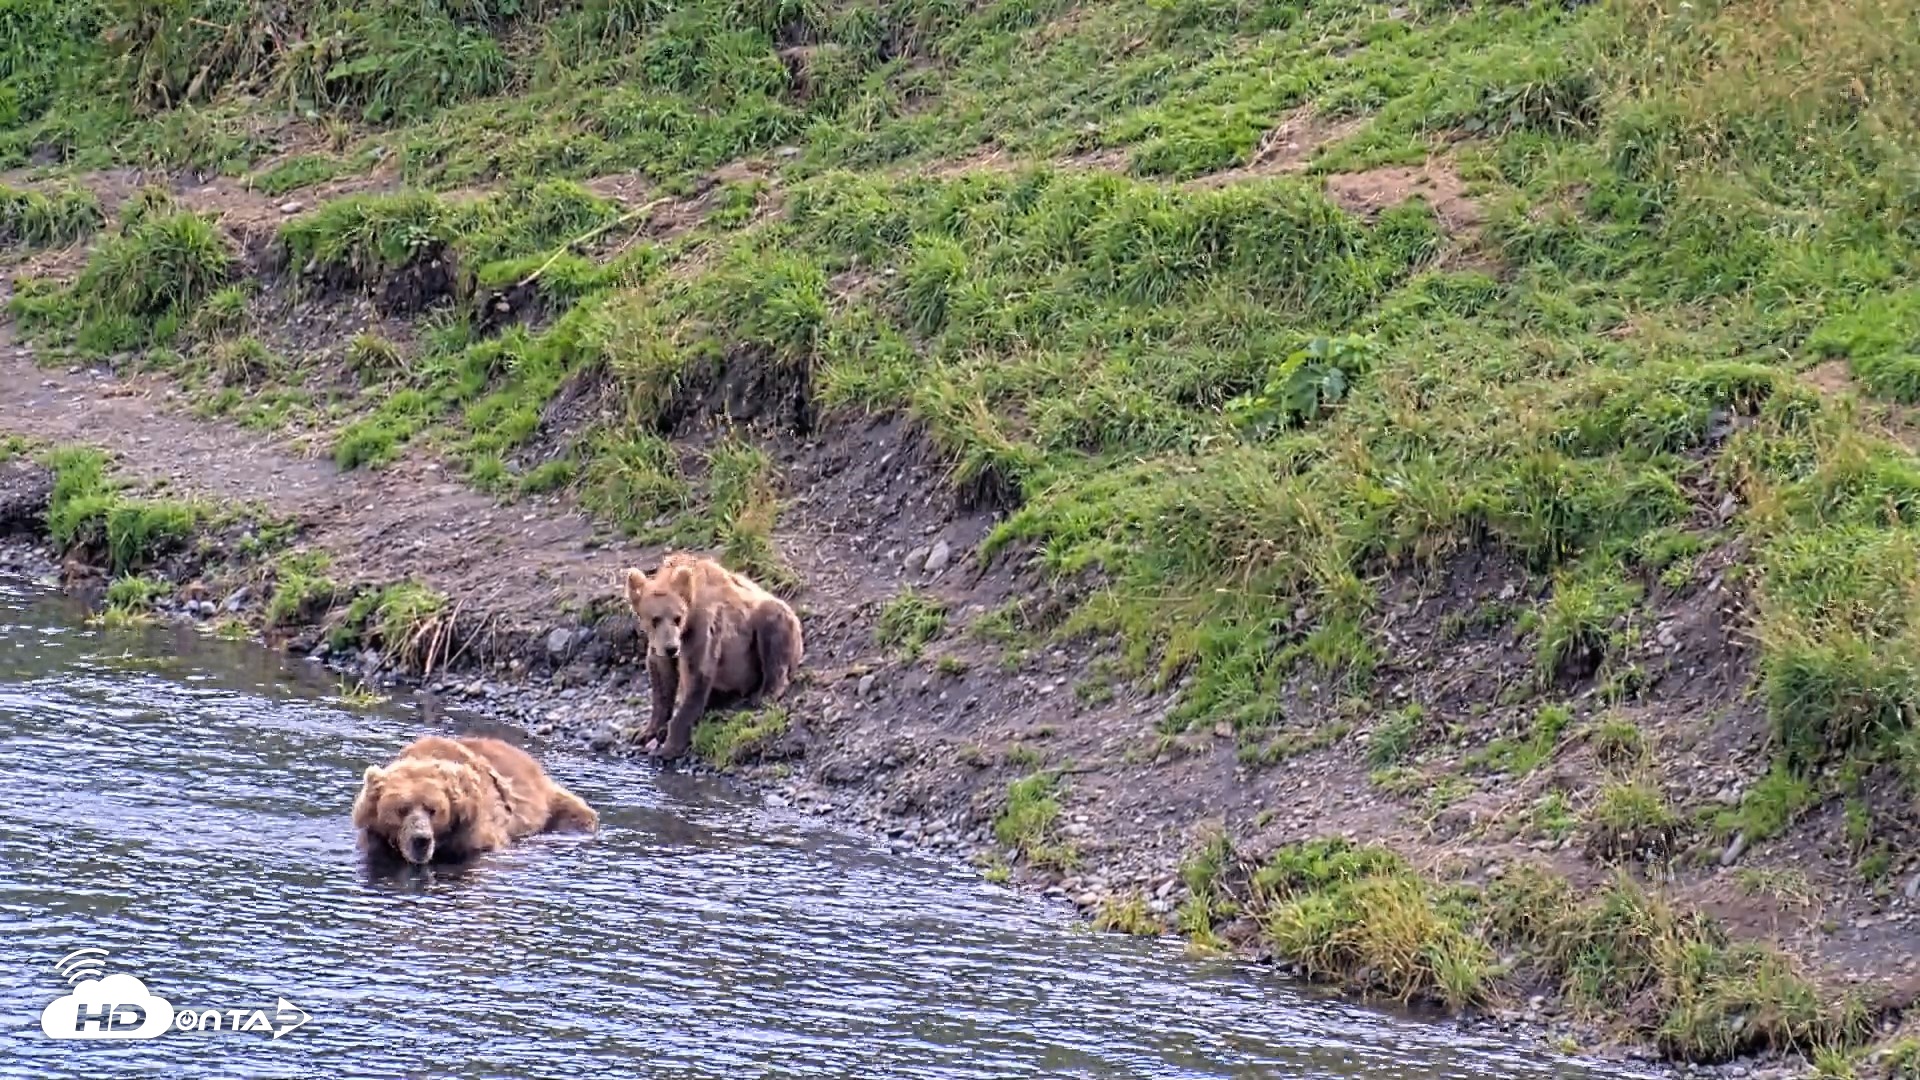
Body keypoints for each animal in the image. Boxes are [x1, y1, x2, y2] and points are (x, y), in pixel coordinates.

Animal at [622, 552, 804, 762]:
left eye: (677, 618)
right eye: (655, 619)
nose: (671, 648)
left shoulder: (703, 627)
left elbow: (697, 673)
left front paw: (669, 746)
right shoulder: (658, 644)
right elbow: (662, 678)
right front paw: (646, 731)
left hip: (767, 623)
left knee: (772, 635)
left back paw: (764, 694)